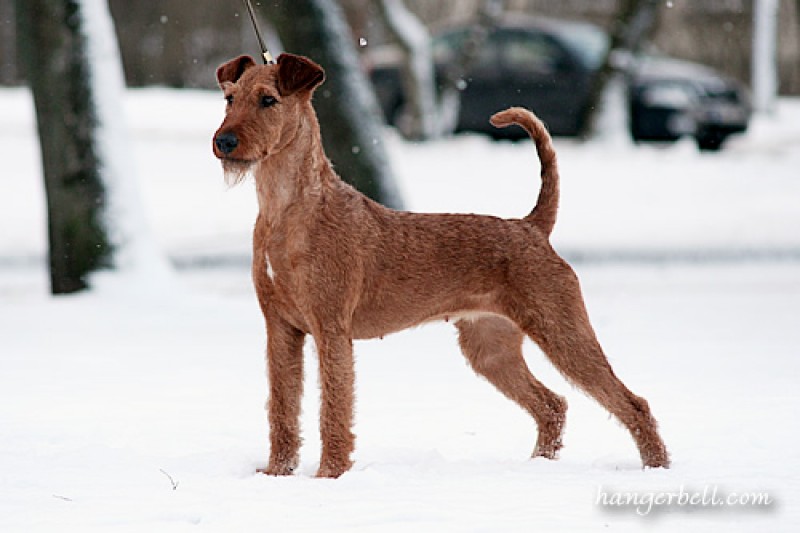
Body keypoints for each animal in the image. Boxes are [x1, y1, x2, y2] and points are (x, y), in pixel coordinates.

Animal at [212, 53, 669, 478]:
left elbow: (333, 411)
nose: (224, 142)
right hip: (490, 348)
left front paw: (330, 475)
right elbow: (282, 409)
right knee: (552, 404)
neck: (288, 210)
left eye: (268, 100)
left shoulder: (331, 329)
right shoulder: (281, 329)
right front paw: (277, 473)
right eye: (229, 98)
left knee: (632, 402)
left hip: (562, 331)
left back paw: (657, 468)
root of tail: (531, 226)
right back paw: (538, 465)